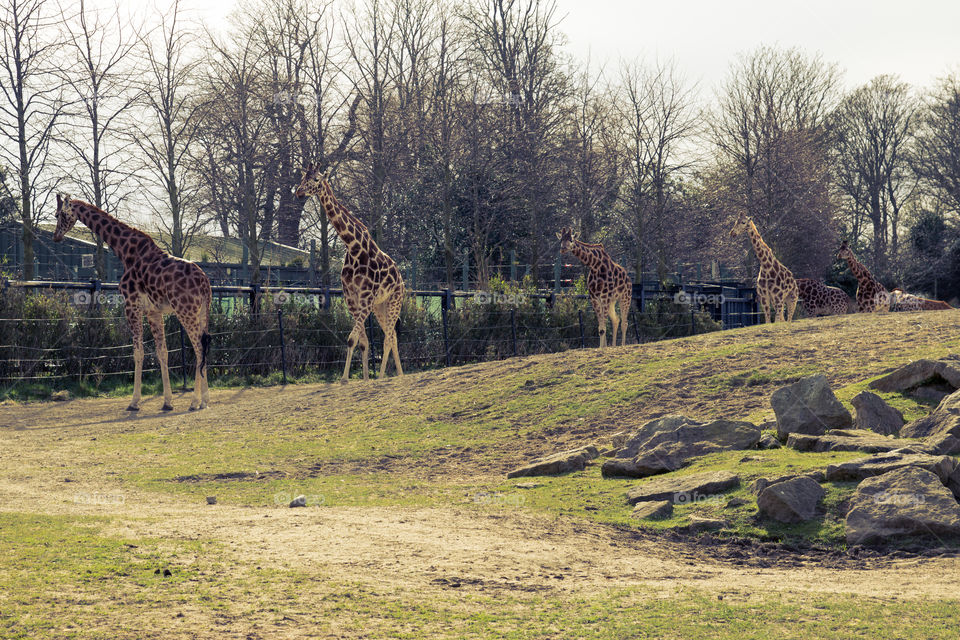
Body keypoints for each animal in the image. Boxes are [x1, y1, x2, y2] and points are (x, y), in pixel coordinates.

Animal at [53, 194, 212, 411]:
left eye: (58, 214)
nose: (56, 237)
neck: (126, 251)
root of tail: (205, 282)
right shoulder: (154, 311)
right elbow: (162, 352)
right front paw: (167, 402)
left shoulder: (132, 306)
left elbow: (138, 353)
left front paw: (134, 402)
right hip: (202, 312)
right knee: (204, 346)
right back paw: (204, 400)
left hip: (185, 311)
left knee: (198, 349)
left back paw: (195, 401)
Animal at [295, 165, 404, 381]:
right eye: (303, 177)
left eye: (317, 179)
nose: (299, 192)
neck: (352, 246)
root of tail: (402, 280)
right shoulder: (351, 297)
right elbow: (362, 342)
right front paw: (364, 379)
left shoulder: (366, 296)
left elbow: (352, 339)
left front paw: (346, 379)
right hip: (380, 305)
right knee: (393, 336)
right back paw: (400, 375)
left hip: (395, 300)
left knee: (388, 338)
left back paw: (382, 377)